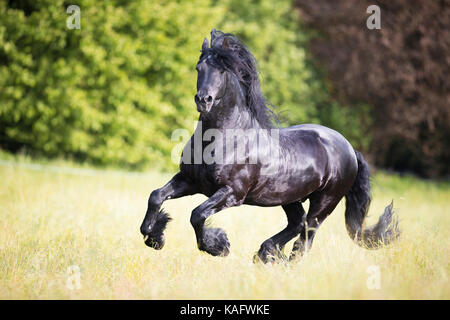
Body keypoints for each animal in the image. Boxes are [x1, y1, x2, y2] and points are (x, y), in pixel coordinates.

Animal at [140, 29, 398, 262]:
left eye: (222, 70)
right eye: (198, 68)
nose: (204, 100)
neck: (223, 139)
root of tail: (349, 148)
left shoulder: (232, 192)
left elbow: (197, 214)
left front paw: (219, 245)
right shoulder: (189, 180)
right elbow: (155, 196)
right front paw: (154, 237)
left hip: (325, 201)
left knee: (305, 236)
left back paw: (277, 260)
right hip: (290, 197)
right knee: (297, 223)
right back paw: (265, 253)